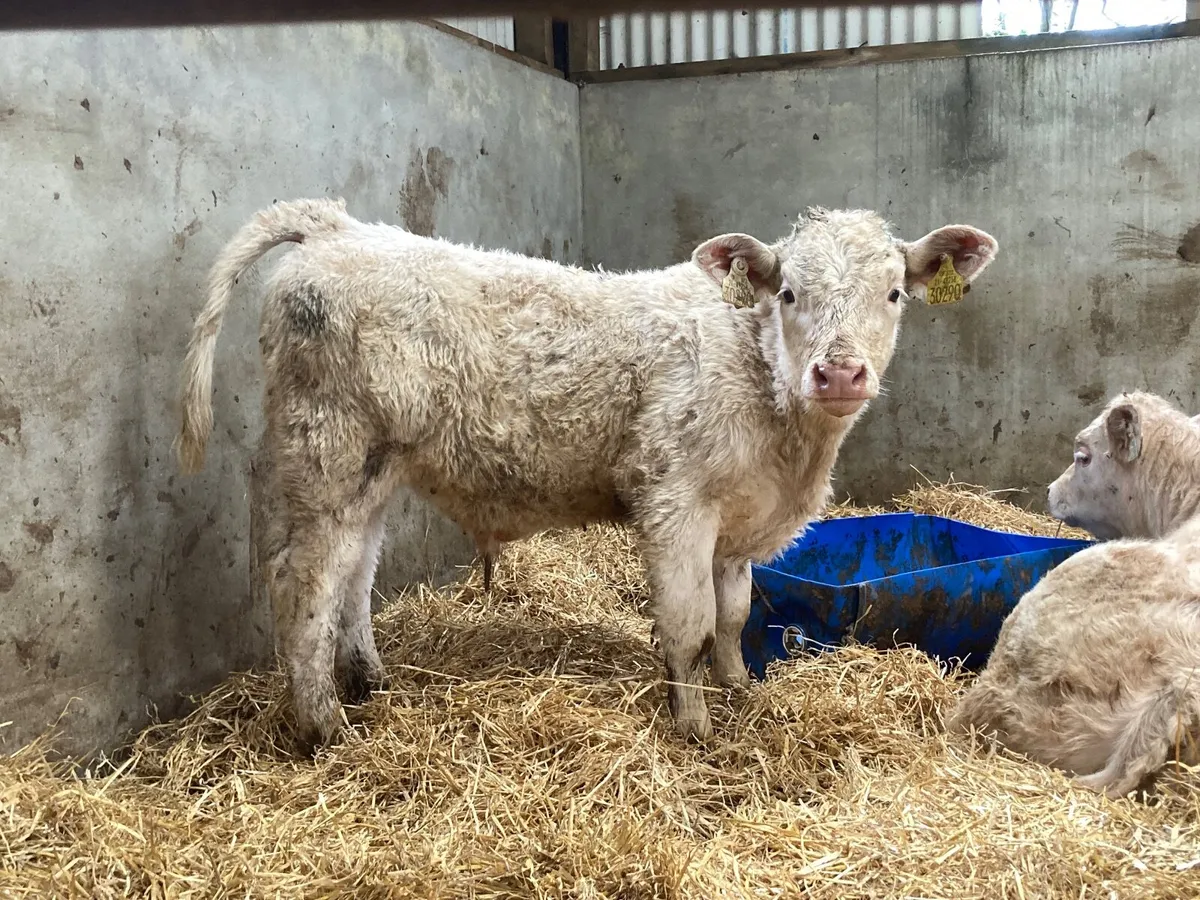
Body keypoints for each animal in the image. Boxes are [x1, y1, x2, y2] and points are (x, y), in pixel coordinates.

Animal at [176, 197, 998, 753]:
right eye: (789, 292)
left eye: (893, 293)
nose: (839, 373)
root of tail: (341, 228)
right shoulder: (675, 501)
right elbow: (690, 622)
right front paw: (693, 724)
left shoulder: (737, 519)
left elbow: (734, 615)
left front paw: (737, 689)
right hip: (327, 453)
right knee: (303, 583)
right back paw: (325, 726)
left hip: (373, 469)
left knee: (354, 576)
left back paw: (368, 683)